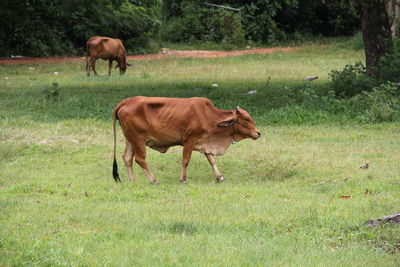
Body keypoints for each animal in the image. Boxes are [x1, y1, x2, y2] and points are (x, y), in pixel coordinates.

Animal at [112, 96, 262, 184]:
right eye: (246, 119)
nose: (258, 133)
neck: (209, 116)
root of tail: (126, 102)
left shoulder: (205, 142)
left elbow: (212, 160)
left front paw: (219, 177)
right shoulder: (190, 140)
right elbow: (185, 160)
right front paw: (183, 179)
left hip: (130, 139)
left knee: (127, 157)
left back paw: (132, 180)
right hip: (138, 139)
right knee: (140, 159)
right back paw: (153, 180)